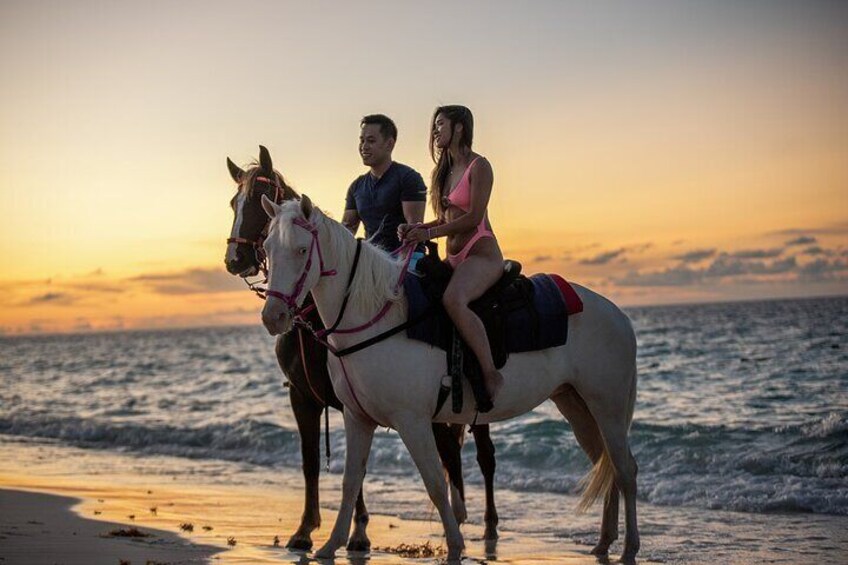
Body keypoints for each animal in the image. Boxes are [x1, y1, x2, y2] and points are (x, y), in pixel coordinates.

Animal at [262, 194, 640, 560]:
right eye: (267, 248)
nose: (273, 317)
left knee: (625, 469)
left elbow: (434, 481)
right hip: (575, 404)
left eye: (301, 250)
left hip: (607, 406)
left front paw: (456, 545)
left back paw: (629, 548)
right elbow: (350, 481)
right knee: (607, 466)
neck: (377, 316)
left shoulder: (412, 420)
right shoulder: (358, 418)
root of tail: (618, 315)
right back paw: (604, 543)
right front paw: (331, 545)